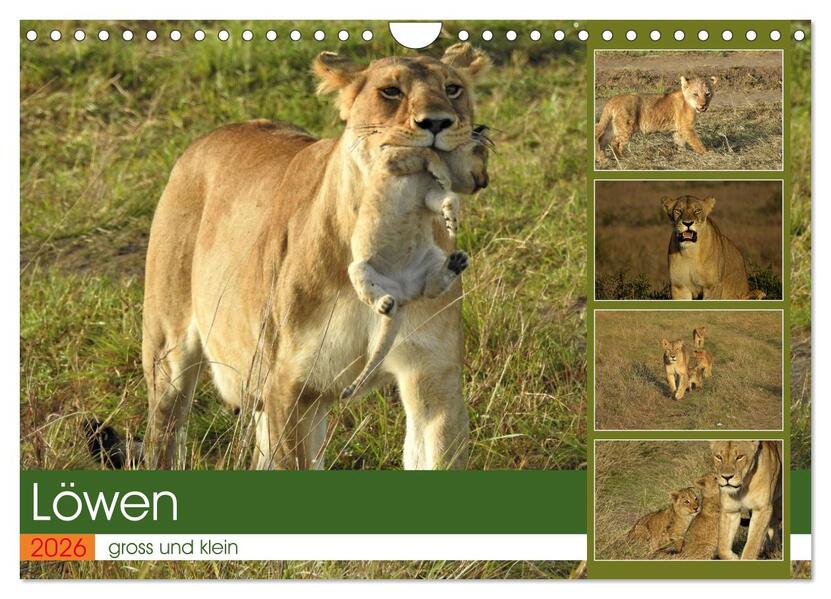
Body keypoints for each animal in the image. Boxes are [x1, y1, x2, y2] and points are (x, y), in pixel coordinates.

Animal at [342, 130, 490, 400]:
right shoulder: (391, 158)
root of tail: (403, 295)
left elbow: (447, 197)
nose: (486, 181)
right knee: (371, 294)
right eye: (482, 154)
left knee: (430, 289)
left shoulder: (429, 194)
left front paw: (451, 220)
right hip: (358, 268)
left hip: (434, 255)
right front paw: (441, 172)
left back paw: (455, 264)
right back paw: (385, 303)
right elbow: (427, 152)